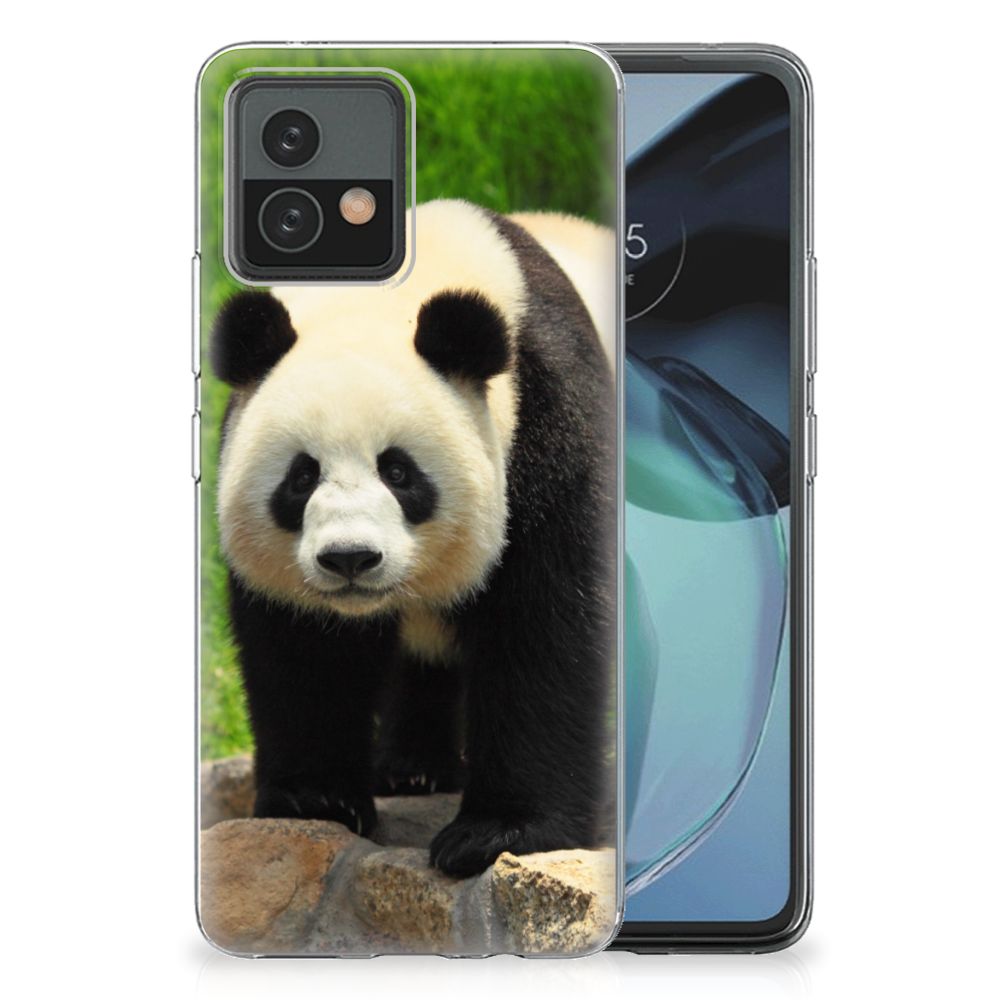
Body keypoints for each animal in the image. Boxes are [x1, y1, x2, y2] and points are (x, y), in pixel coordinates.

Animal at [211, 199, 616, 878]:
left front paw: (497, 833)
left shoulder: (550, 426)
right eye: (301, 476)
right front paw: (316, 799)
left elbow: (545, 626)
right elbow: (303, 650)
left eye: (398, 472)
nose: (350, 558)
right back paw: (412, 769)